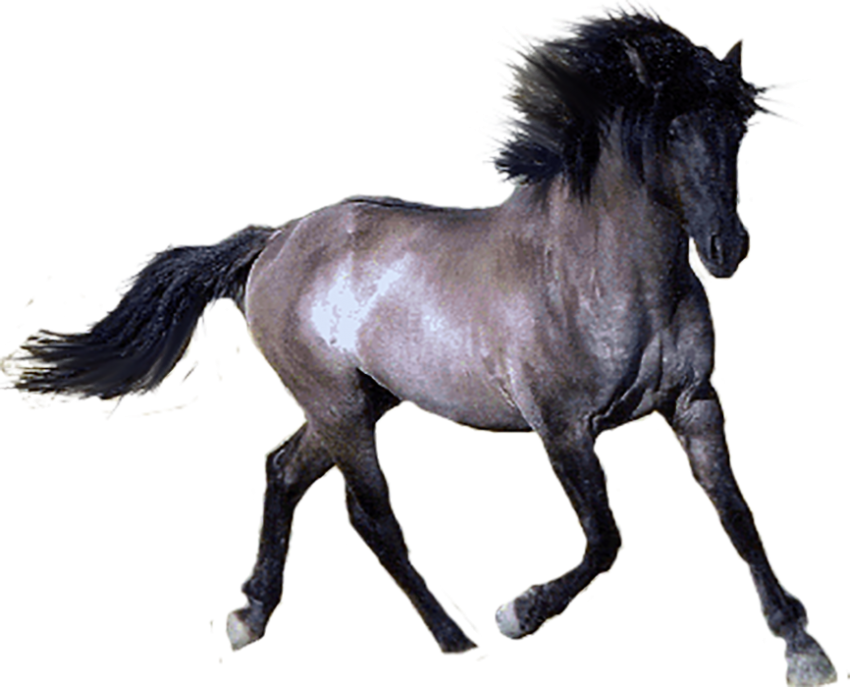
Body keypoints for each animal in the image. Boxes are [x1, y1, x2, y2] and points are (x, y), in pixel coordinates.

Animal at [0, 3, 836, 685]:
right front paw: (517, 610)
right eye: (669, 128)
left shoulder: (692, 403)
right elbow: (605, 537)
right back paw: (455, 638)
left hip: (362, 399)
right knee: (369, 516)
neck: (609, 275)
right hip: (340, 405)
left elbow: (737, 513)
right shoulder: (563, 427)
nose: (727, 248)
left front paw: (800, 642)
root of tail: (273, 242)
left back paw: (249, 617)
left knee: (282, 471)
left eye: (737, 126)